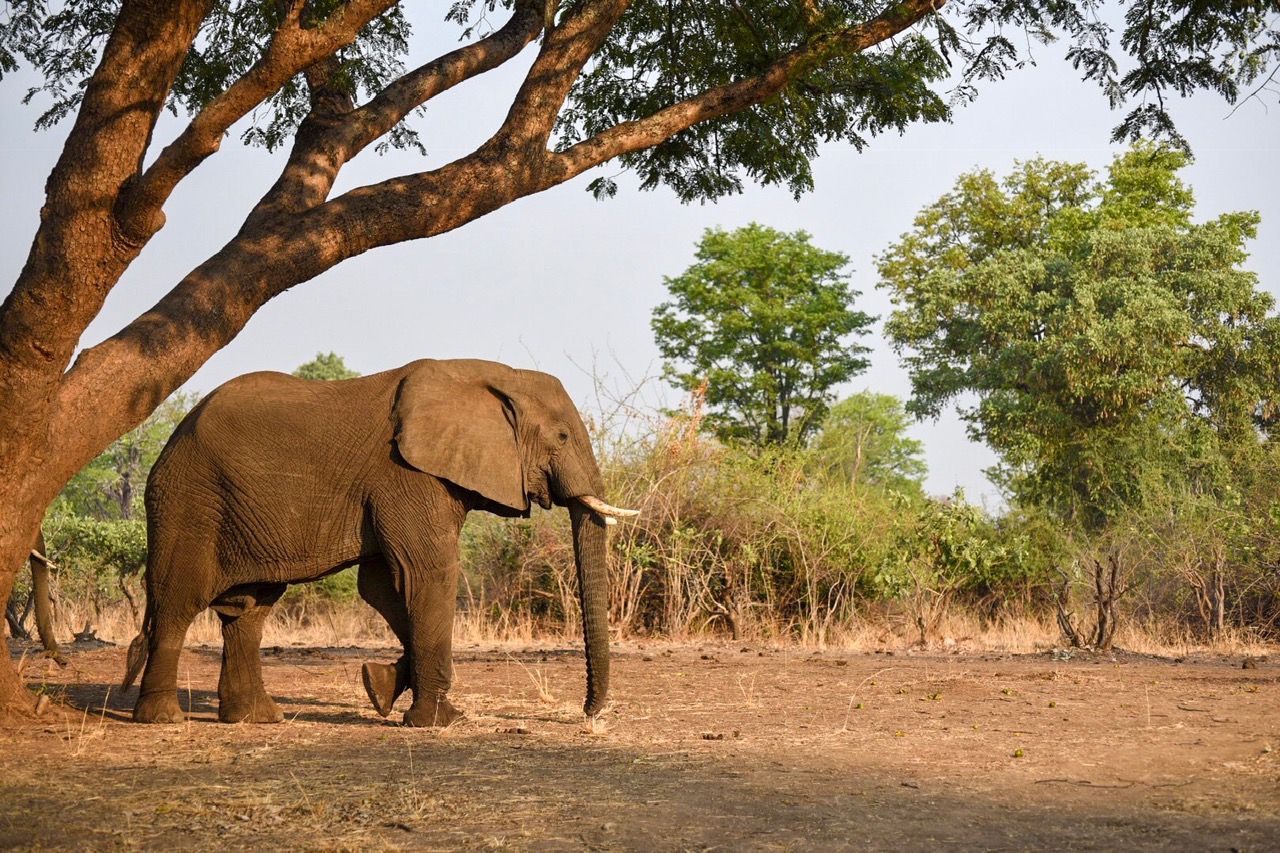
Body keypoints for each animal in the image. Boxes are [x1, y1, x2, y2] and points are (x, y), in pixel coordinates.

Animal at [121, 358, 635, 727]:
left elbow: (384, 586)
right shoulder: (406, 474)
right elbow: (428, 573)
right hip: (188, 502)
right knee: (179, 601)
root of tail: (171, 439)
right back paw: (163, 719)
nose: (586, 714)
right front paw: (440, 721)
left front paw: (379, 686)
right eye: (562, 436)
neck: (493, 375)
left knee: (248, 611)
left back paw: (258, 718)